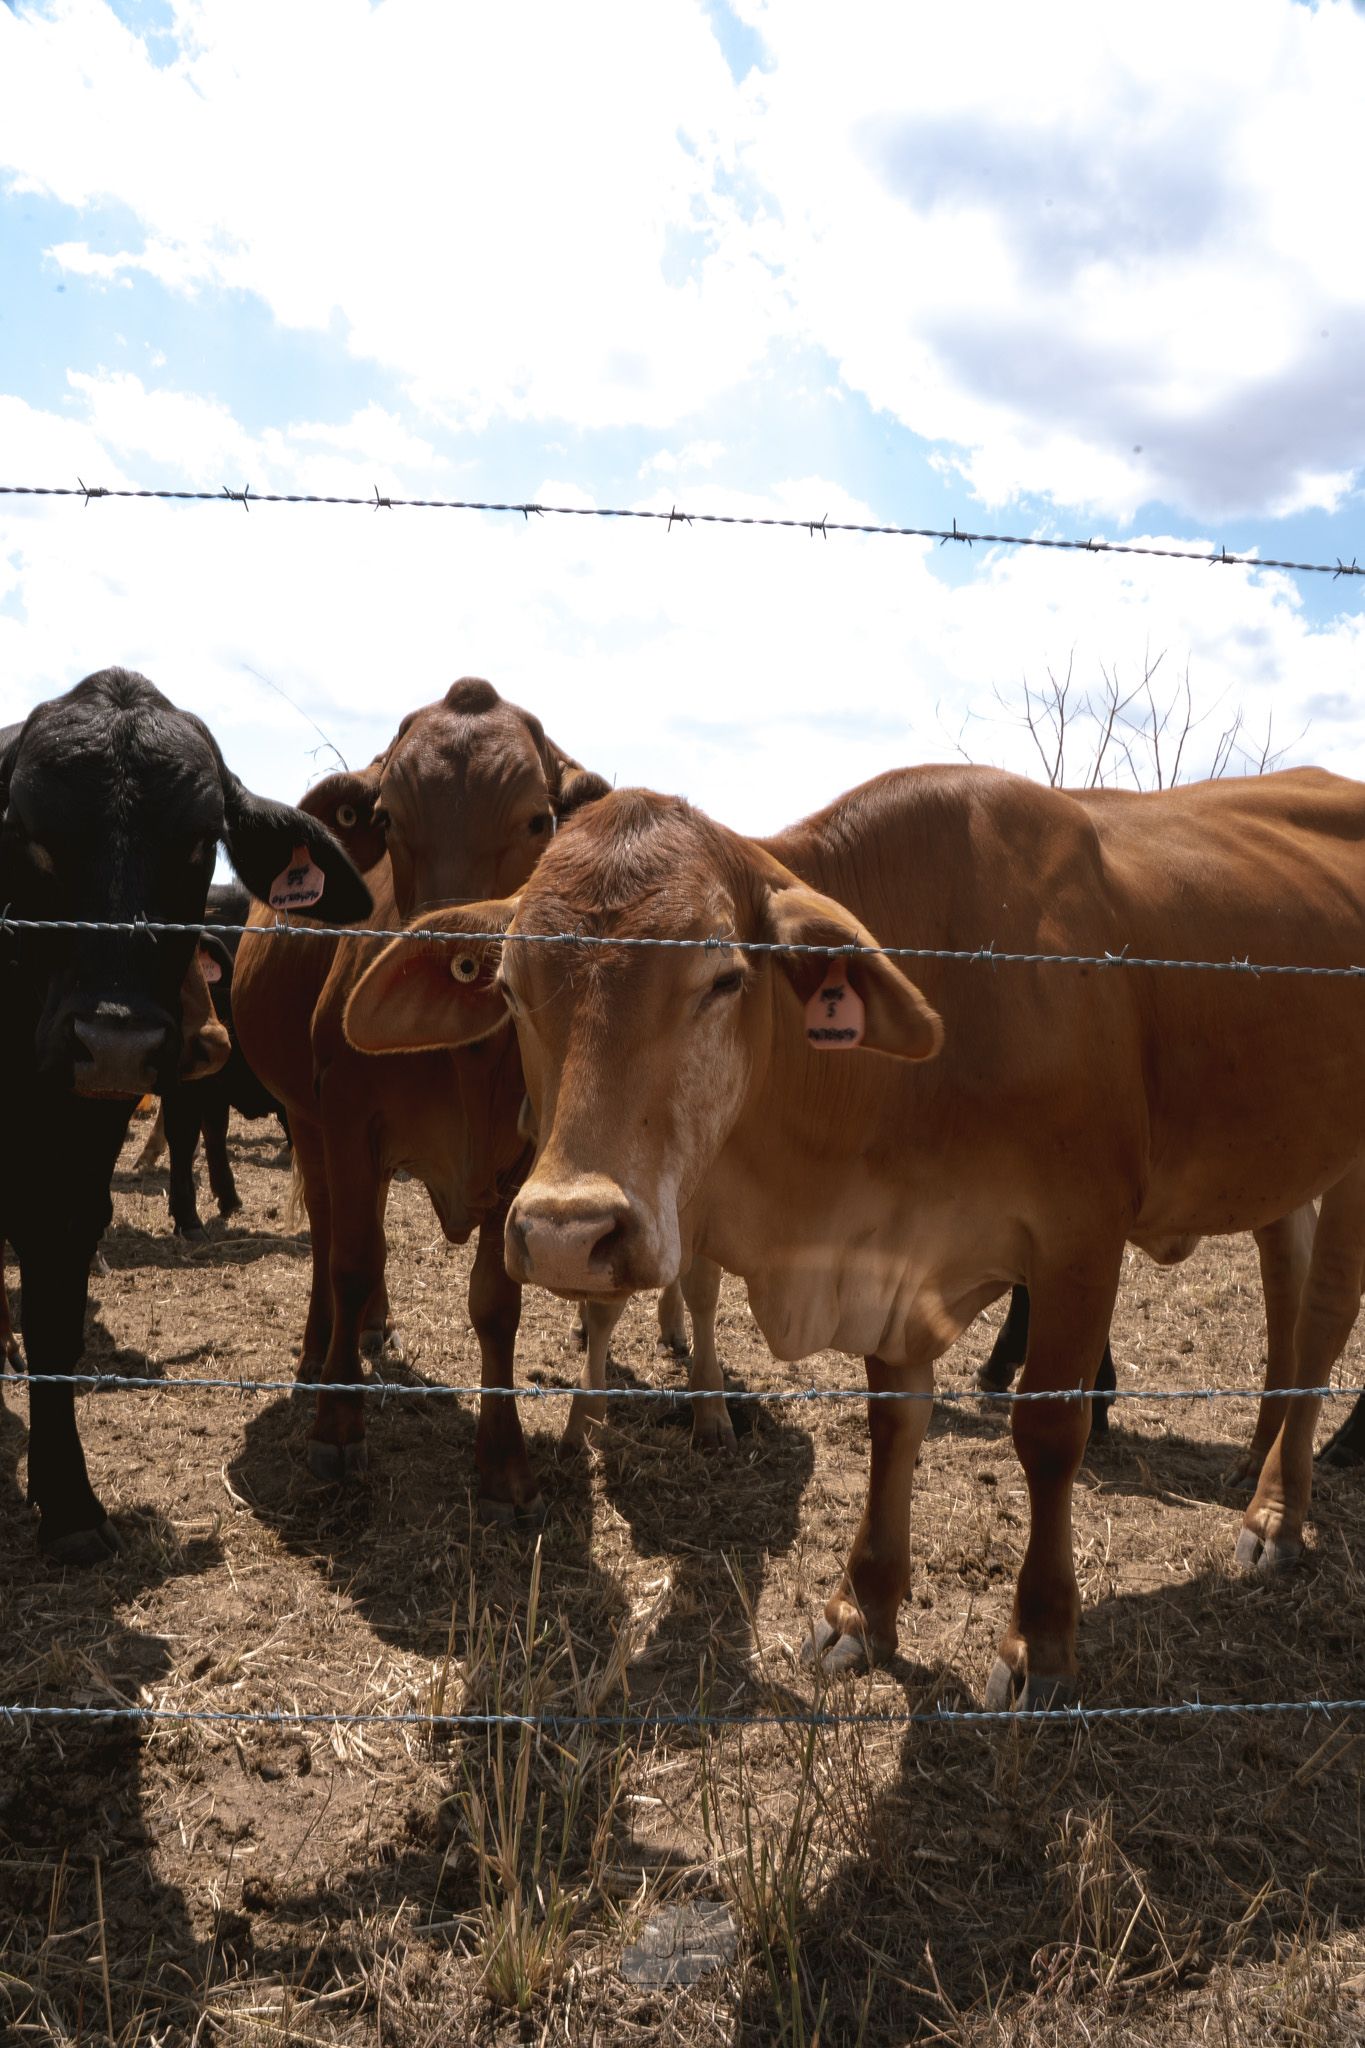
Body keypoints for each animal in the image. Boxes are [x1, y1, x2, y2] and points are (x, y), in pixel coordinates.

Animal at [0, 667, 371, 1562]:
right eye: (24, 829)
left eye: (202, 839)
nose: (114, 1040)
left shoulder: (74, 1160)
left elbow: (57, 1311)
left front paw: (69, 1505)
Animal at [232, 679, 735, 1521]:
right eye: (385, 819)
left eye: (537, 820)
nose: (453, 947)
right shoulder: (346, 1119)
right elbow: (352, 1261)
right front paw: (337, 1428)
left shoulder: (526, 1161)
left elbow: (497, 1303)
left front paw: (503, 1462)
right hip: (305, 1121)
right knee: (332, 1236)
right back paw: (320, 1352)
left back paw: (368, 1332)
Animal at [342, 764, 1365, 1706]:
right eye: (510, 987)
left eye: (724, 978)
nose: (567, 1234)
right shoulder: (890, 1259)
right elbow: (892, 1421)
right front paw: (863, 1608)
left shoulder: (1081, 1241)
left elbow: (1047, 1434)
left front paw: (1038, 1642)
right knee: (1286, 1287)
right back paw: (1256, 1457)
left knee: (1321, 1318)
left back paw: (1276, 1517)